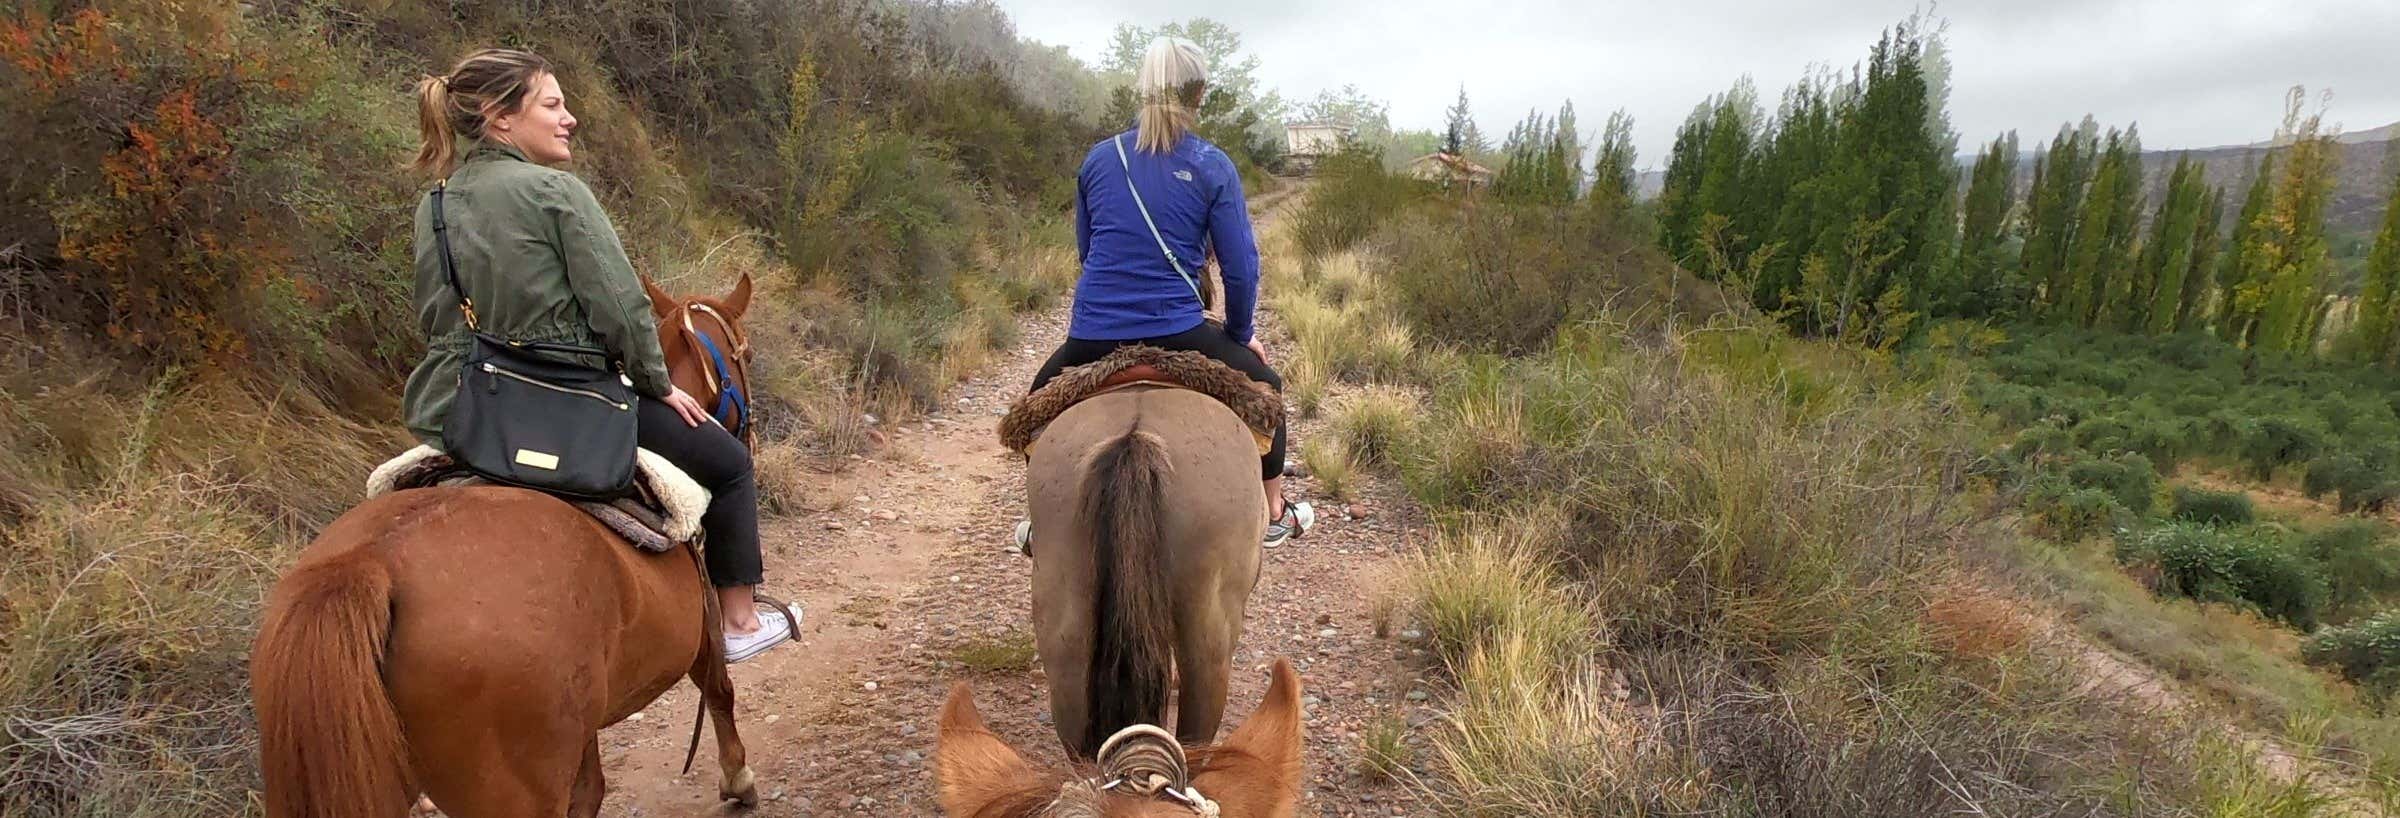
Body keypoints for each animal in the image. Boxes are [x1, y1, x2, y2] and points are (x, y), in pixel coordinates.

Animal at [248, 273, 762, 818]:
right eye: (745, 353)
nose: (748, 435)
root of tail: (369, 564)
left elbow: (592, 788)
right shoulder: (703, 633)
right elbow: (720, 688)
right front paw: (737, 779)